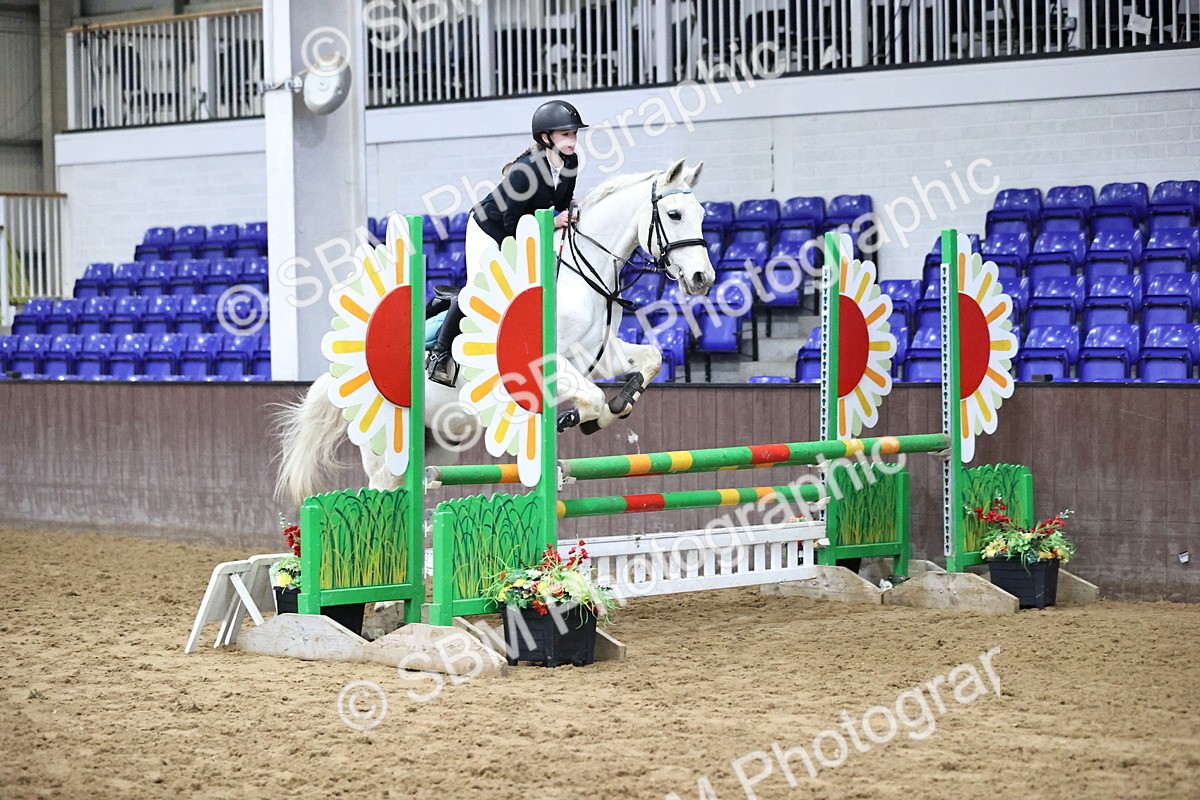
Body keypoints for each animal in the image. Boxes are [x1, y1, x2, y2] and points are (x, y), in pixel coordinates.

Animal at [275, 158, 714, 504]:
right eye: (675, 215)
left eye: (702, 215)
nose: (702, 278)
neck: (584, 277)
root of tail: (343, 372)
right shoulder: (547, 364)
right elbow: (589, 396)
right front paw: (572, 419)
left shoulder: (600, 355)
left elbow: (649, 361)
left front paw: (612, 410)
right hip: (386, 453)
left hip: (437, 445)